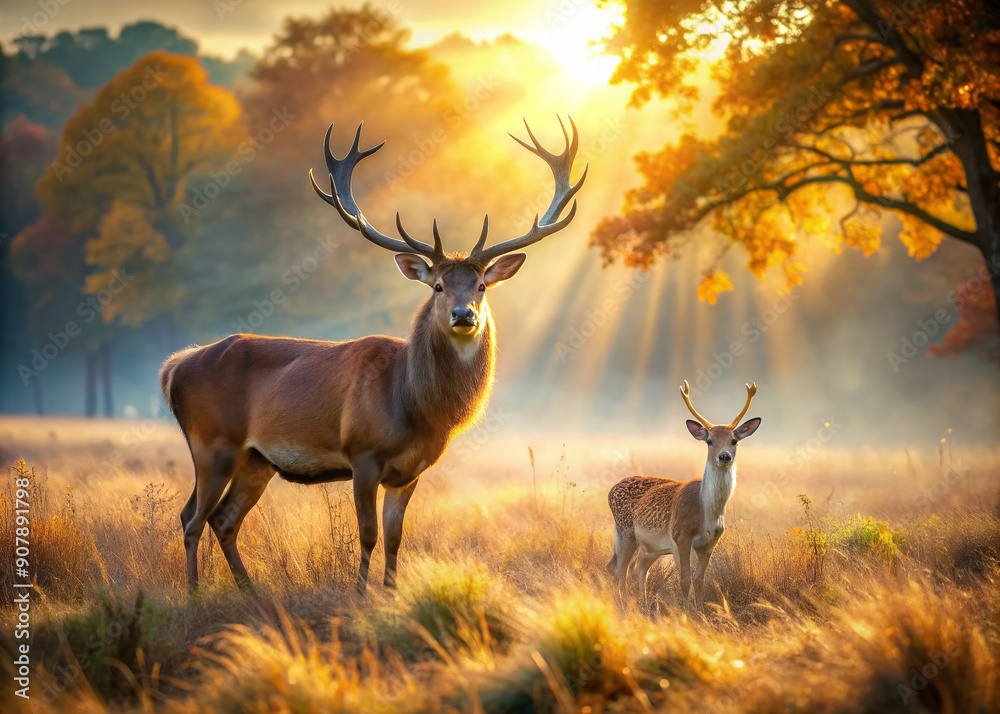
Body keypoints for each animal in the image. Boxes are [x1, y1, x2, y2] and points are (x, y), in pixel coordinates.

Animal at [160, 118, 586, 594]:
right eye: (439, 286)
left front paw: (391, 593)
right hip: (212, 442)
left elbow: (396, 537)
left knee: (223, 519)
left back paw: (250, 592)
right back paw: (194, 593)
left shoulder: (411, 472)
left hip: (256, 458)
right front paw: (361, 594)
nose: (464, 315)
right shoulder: (362, 453)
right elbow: (367, 533)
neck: (414, 407)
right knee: (191, 517)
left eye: (481, 286)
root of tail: (174, 367)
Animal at [606, 381, 760, 611]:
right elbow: (685, 579)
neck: (706, 513)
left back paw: (642, 603)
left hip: (651, 547)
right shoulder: (681, 535)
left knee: (637, 568)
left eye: (734, 441)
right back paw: (625, 606)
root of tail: (611, 489)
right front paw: (685, 612)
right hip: (625, 532)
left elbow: (699, 579)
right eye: (709, 441)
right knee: (619, 569)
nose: (724, 456)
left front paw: (701, 612)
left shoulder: (710, 542)